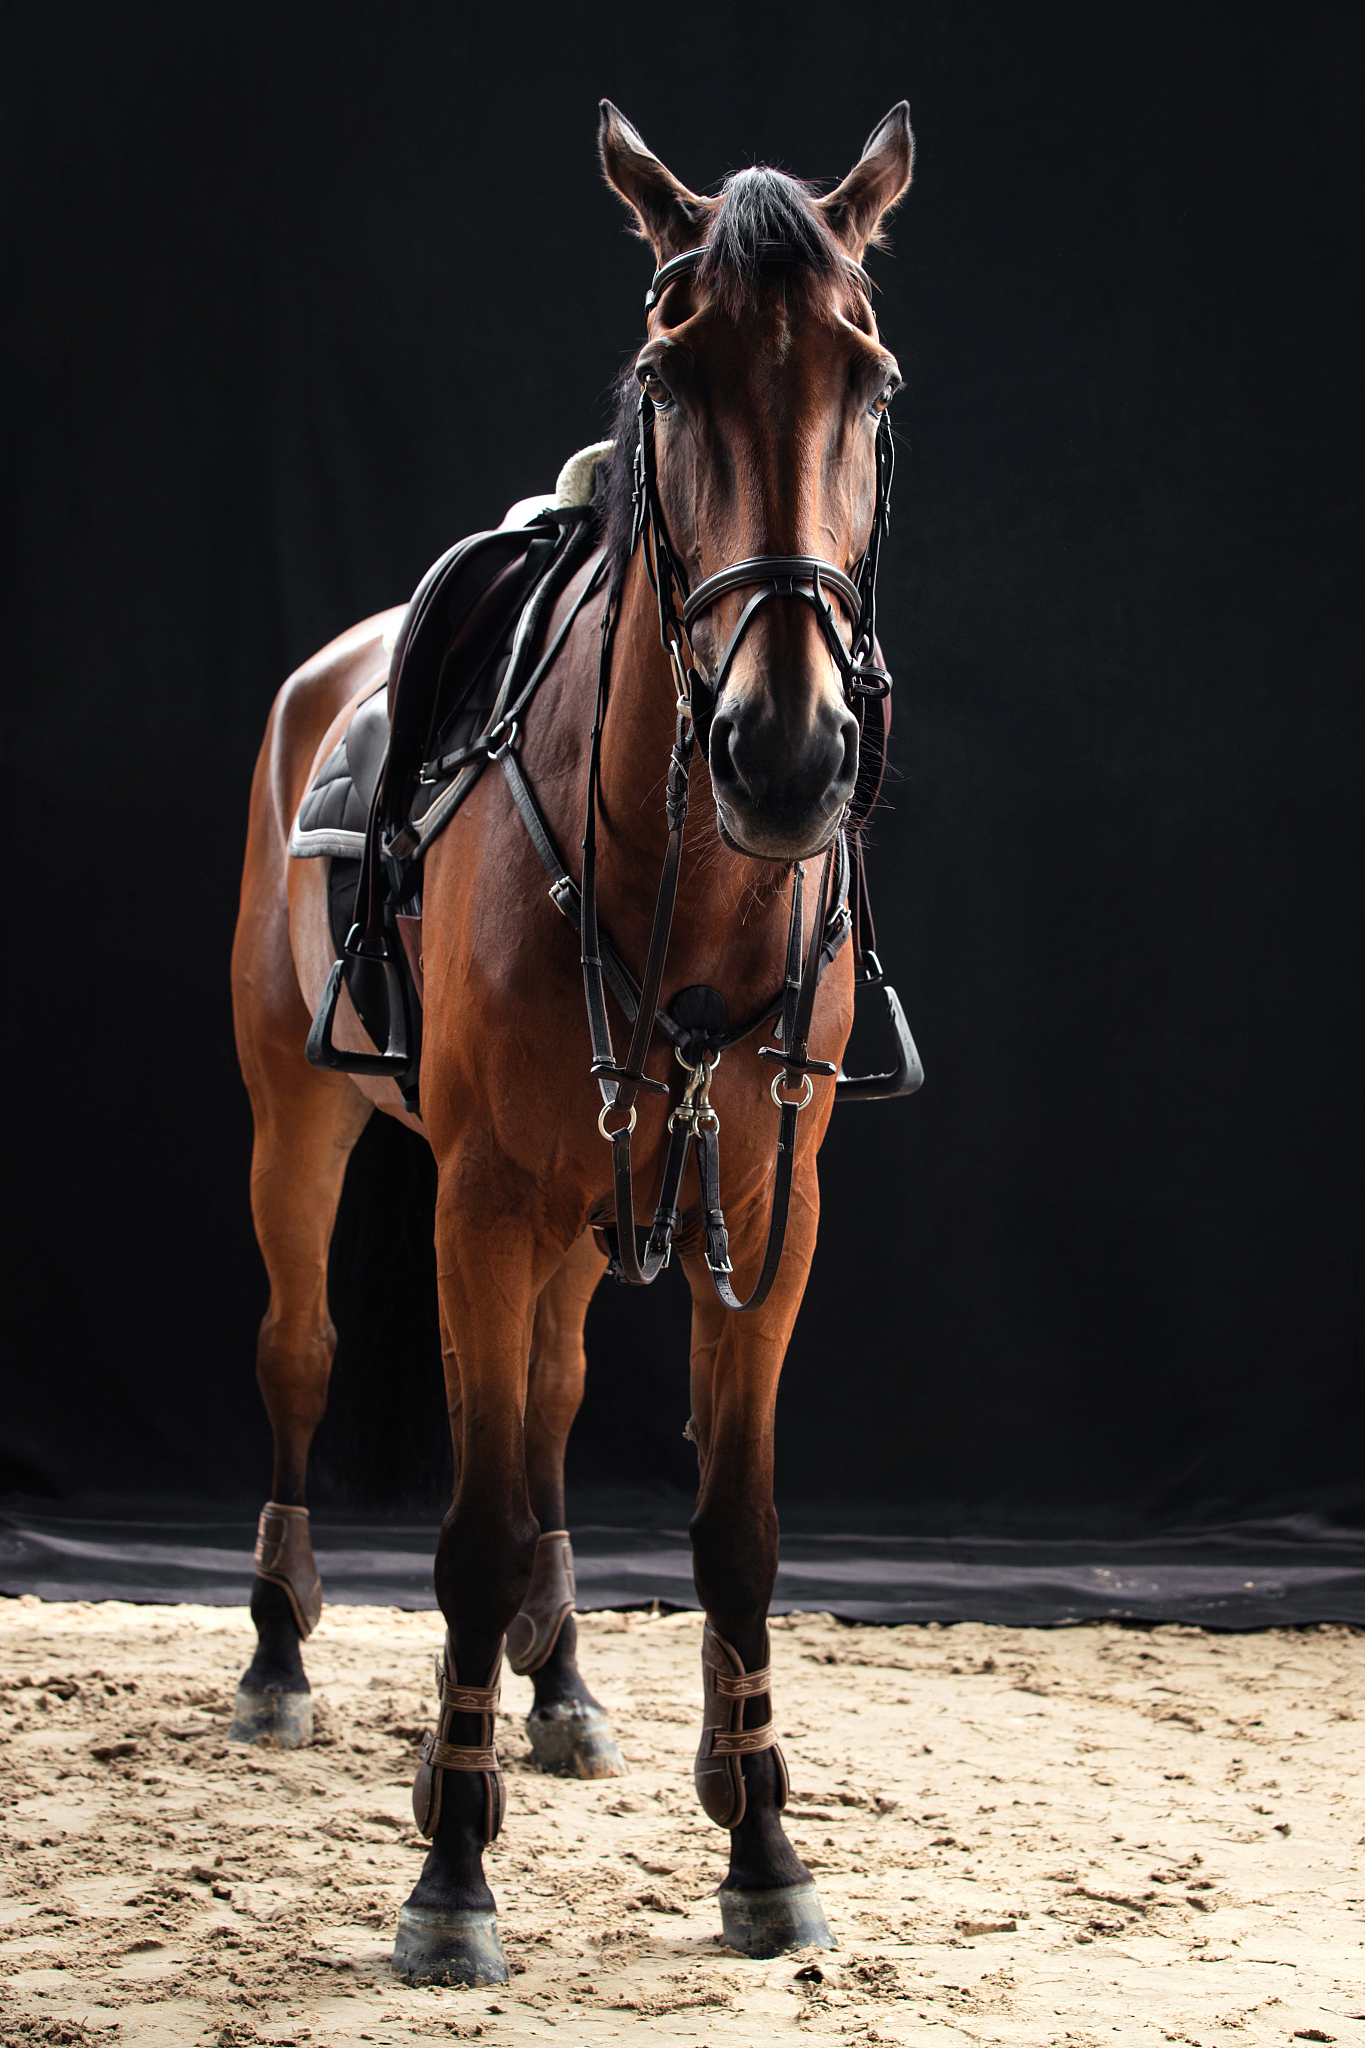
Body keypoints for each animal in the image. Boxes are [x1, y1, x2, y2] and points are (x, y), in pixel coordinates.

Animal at [228, 99, 916, 1985]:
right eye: (672, 377)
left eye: (870, 380)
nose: (782, 751)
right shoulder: (471, 1199)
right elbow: (462, 1532)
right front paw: (452, 1871)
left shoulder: (769, 1205)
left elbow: (733, 1531)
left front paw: (761, 1839)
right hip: (306, 1119)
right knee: (303, 1354)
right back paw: (281, 1656)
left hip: (573, 1203)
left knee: (542, 1400)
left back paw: (562, 1683)